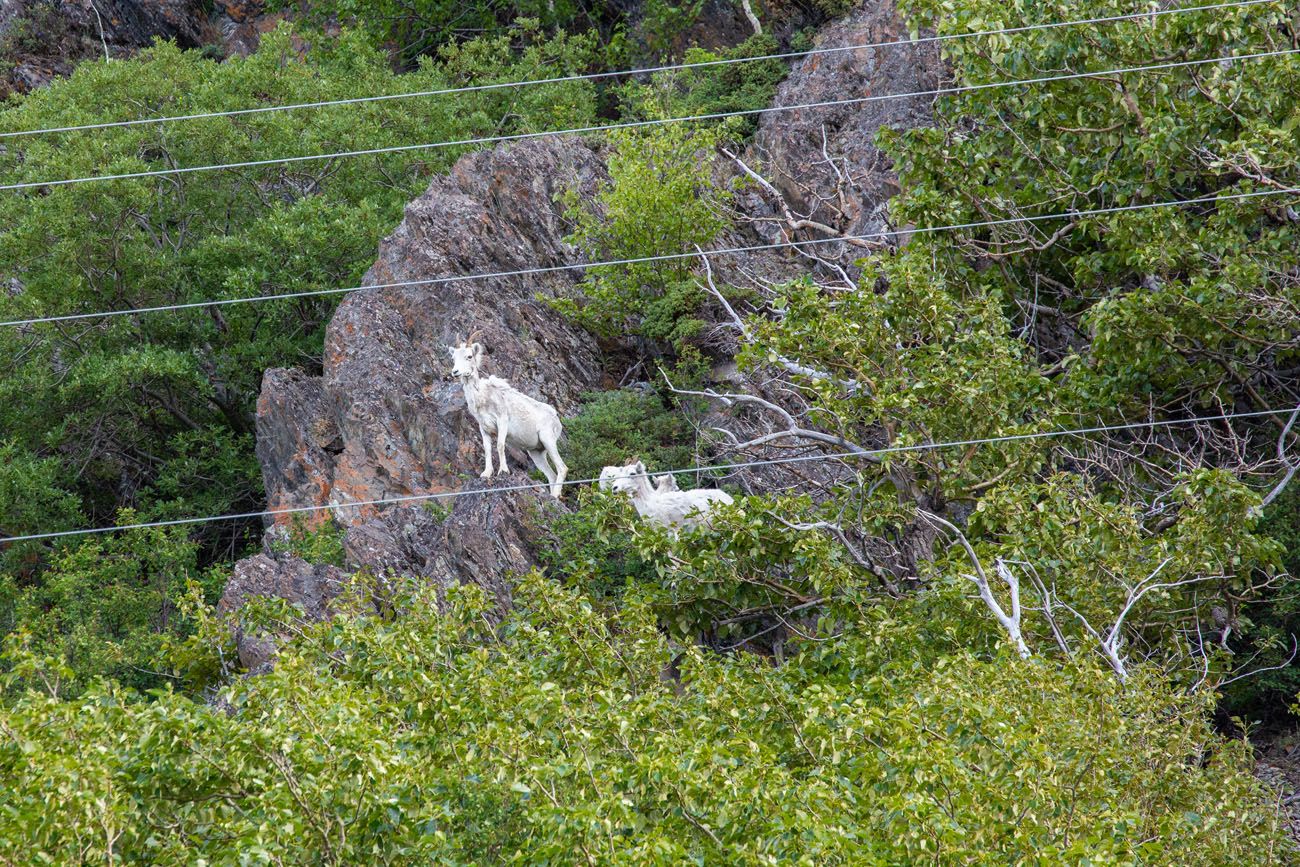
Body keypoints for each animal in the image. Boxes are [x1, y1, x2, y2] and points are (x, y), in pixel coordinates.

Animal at [449, 340, 566, 501]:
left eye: (469, 356)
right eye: (453, 358)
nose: (455, 372)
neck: (483, 397)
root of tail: (556, 419)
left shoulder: (502, 422)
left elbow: (500, 445)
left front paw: (503, 471)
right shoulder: (483, 428)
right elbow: (487, 449)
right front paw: (486, 474)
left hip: (548, 440)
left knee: (562, 468)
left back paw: (555, 495)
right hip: (536, 453)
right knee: (552, 475)